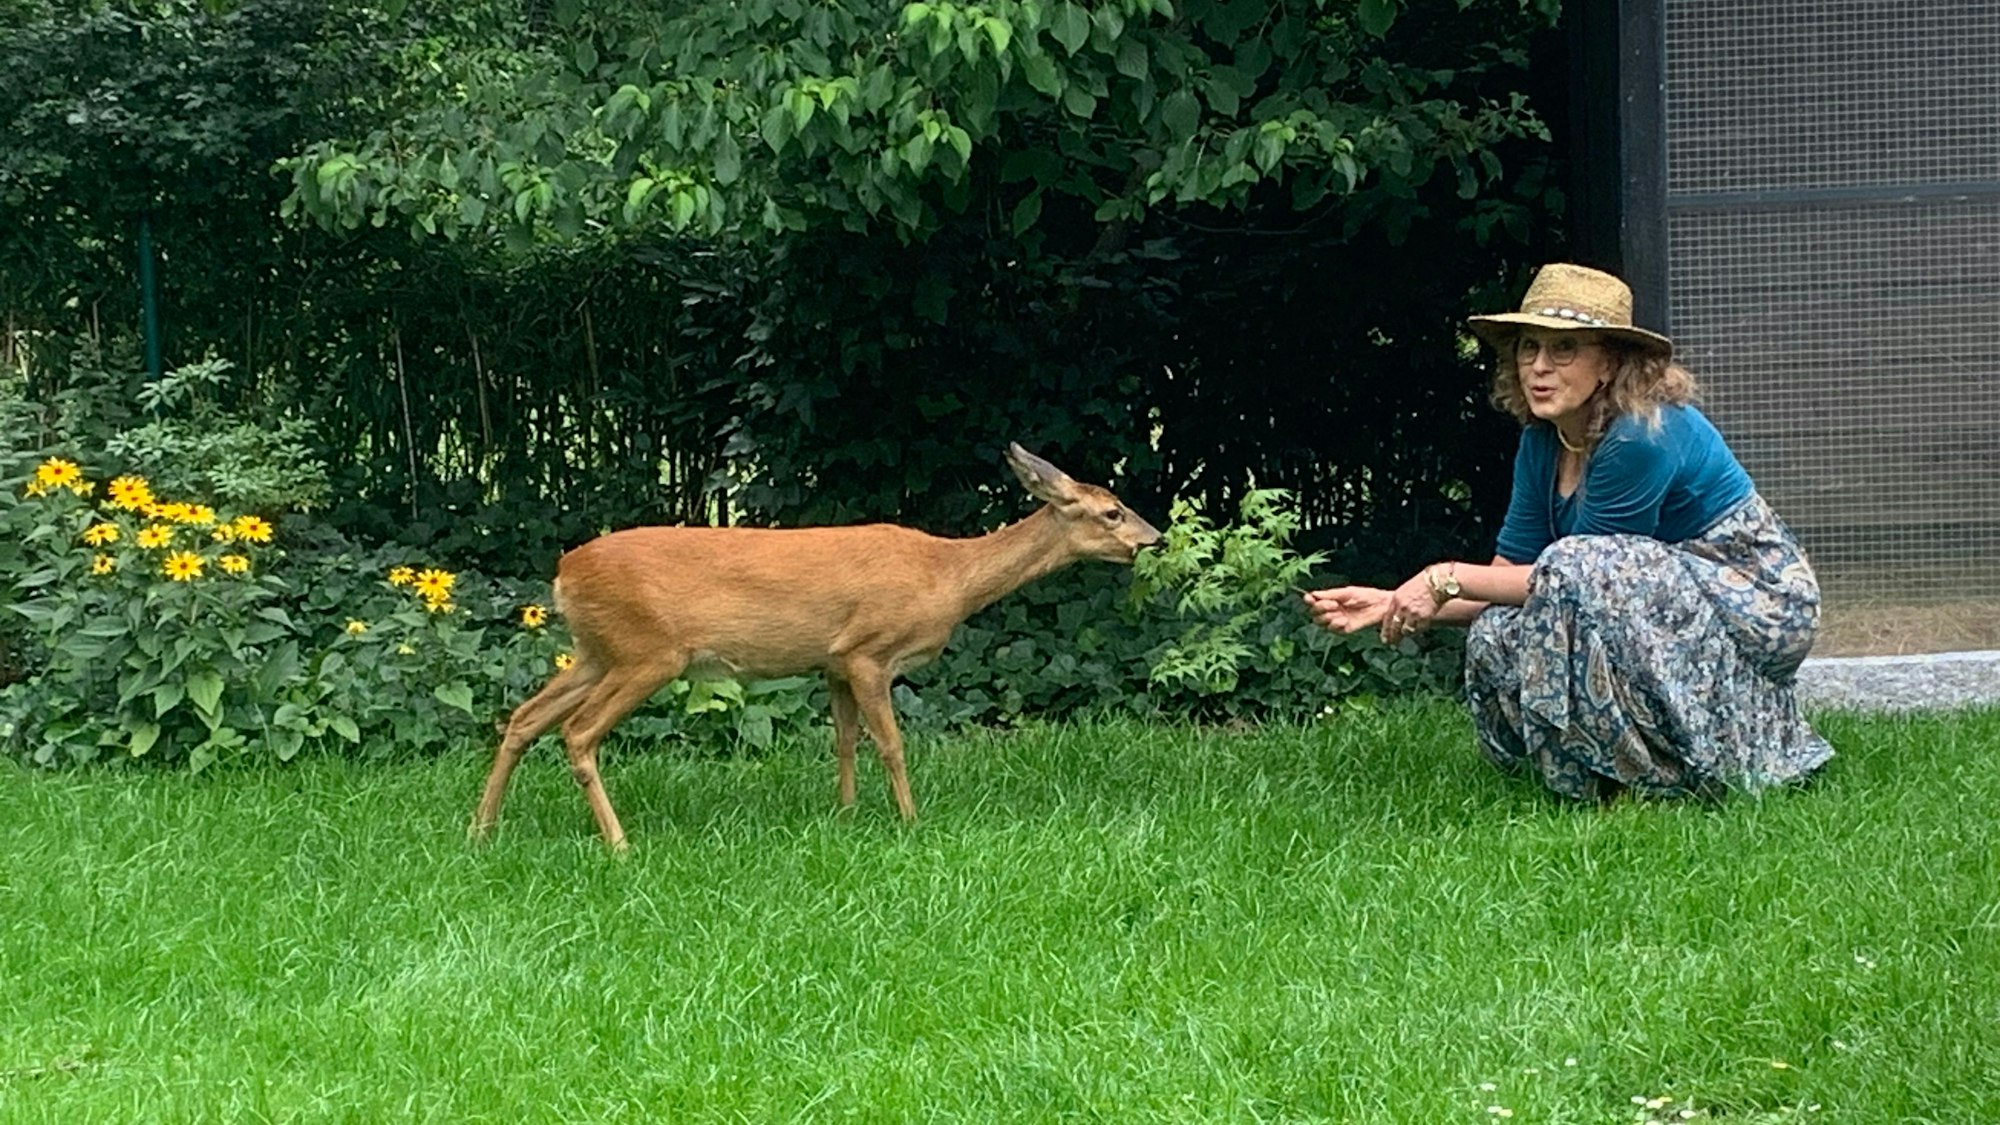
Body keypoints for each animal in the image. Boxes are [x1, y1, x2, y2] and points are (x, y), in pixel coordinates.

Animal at [469, 442, 1163, 849]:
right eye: (1111, 512)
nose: (1154, 539)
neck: (949, 577)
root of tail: (565, 573)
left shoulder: (832, 662)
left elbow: (845, 740)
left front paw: (847, 815)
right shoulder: (869, 649)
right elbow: (891, 744)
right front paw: (911, 822)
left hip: (597, 650)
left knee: (523, 718)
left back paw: (482, 829)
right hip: (648, 650)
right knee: (577, 733)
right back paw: (619, 844)